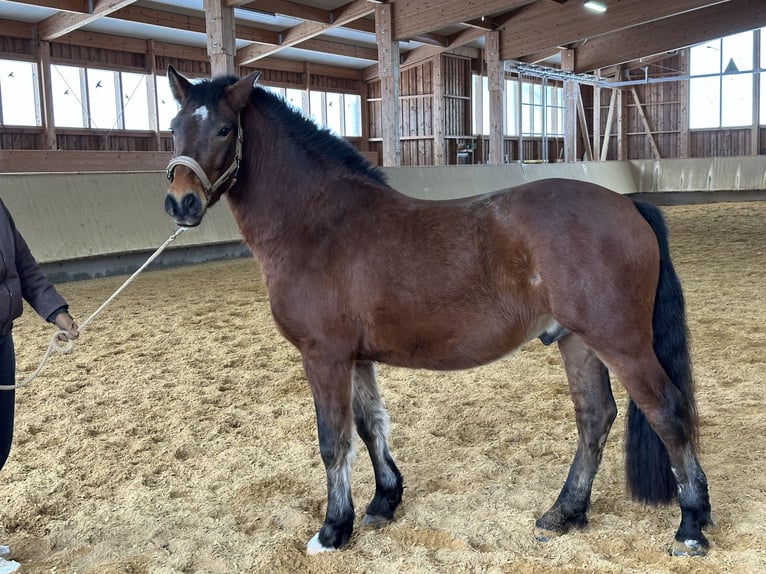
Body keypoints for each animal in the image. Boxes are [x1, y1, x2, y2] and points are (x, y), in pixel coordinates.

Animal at [162, 66, 713, 557]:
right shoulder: (356, 358)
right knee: (595, 417)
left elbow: (333, 441)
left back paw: (690, 526)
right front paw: (384, 502)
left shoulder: (324, 356)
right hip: (577, 340)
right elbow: (370, 426)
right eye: (174, 126)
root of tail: (629, 205)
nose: (180, 203)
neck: (319, 223)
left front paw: (333, 530)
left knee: (667, 411)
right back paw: (564, 512)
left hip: (620, 340)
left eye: (224, 128)